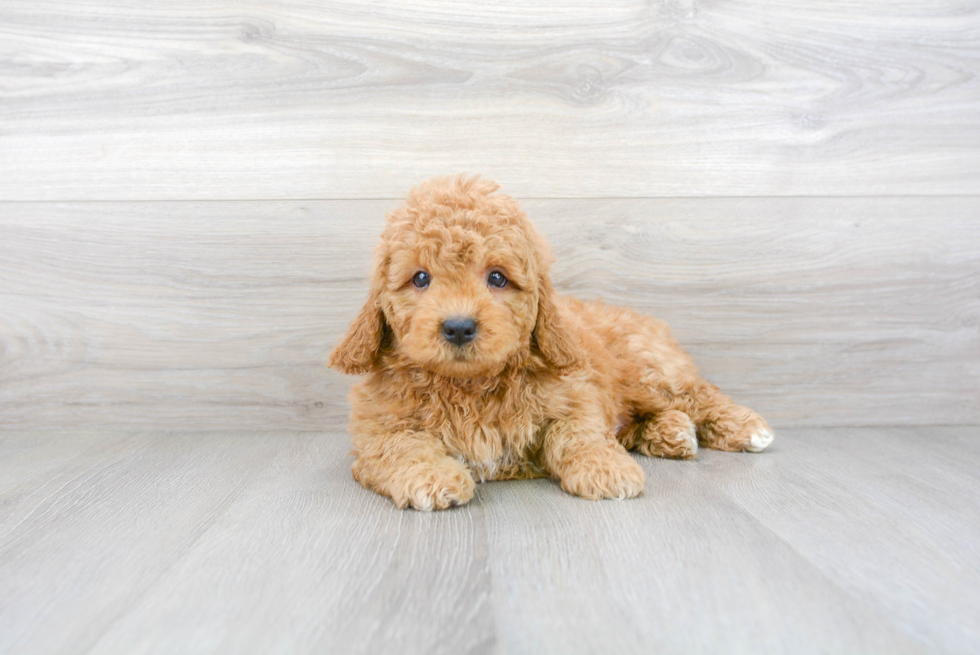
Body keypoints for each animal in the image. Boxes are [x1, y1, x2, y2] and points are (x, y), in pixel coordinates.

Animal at [330, 176, 772, 512]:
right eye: (420, 278)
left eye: (497, 277)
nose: (458, 327)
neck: (470, 385)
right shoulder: (379, 428)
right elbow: (404, 446)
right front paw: (433, 475)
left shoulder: (575, 395)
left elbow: (578, 434)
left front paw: (605, 469)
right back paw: (673, 433)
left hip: (651, 371)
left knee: (698, 394)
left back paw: (745, 427)